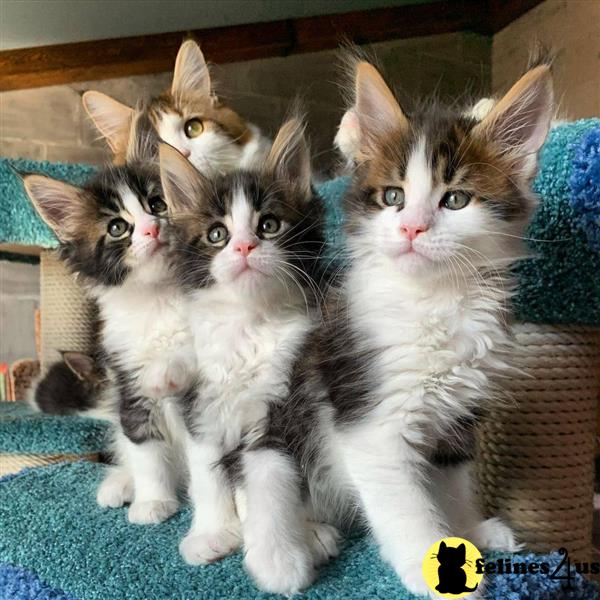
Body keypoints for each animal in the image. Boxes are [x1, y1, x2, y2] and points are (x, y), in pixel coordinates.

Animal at [22, 113, 192, 524]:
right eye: (117, 227)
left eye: (157, 203)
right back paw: (121, 483)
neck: (158, 298)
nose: (152, 228)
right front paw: (153, 502)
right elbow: (146, 452)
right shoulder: (130, 385)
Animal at [158, 119, 338, 592]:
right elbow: (208, 474)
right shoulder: (201, 405)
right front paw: (212, 532)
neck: (248, 322)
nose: (243, 247)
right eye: (217, 234)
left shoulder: (280, 409)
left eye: (269, 225)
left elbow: (271, 484)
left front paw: (278, 559)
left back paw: (312, 531)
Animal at [262, 59, 552, 596]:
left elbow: (452, 485)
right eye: (393, 196)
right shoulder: (372, 423)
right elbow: (406, 506)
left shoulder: (459, 417)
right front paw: (431, 564)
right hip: (284, 424)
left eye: (455, 200)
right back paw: (302, 541)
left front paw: (466, 530)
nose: (412, 228)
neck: (433, 301)